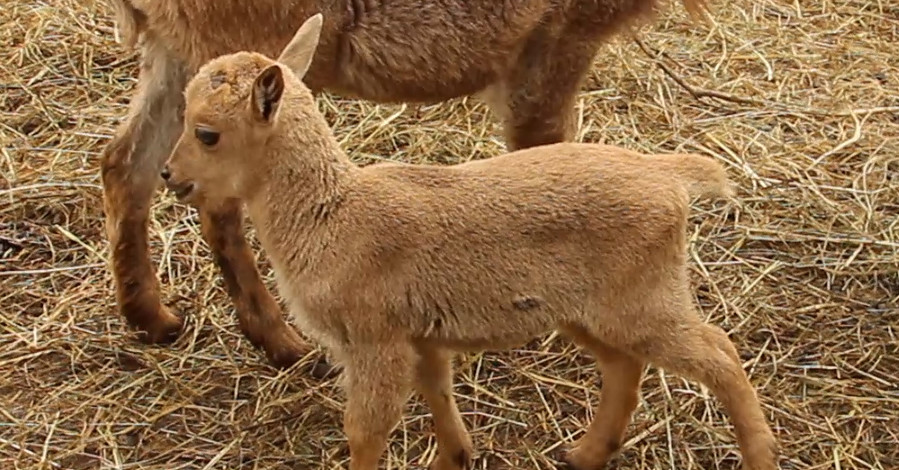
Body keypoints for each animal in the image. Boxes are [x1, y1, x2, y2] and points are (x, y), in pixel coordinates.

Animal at [102, 0, 712, 370]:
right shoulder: (556, 39)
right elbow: (542, 150)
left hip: (179, 48)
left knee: (125, 162)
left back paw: (153, 320)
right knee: (215, 197)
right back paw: (284, 344)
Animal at [158, 15, 776, 470]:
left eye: (207, 133)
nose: (169, 175)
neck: (332, 215)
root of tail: (670, 176)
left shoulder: (374, 337)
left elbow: (366, 430)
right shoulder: (420, 333)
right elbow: (438, 392)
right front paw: (457, 455)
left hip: (643, 297)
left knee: (719, 353)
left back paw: (760, 455)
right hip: (590, 308)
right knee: (626, 368)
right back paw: (583, 454)